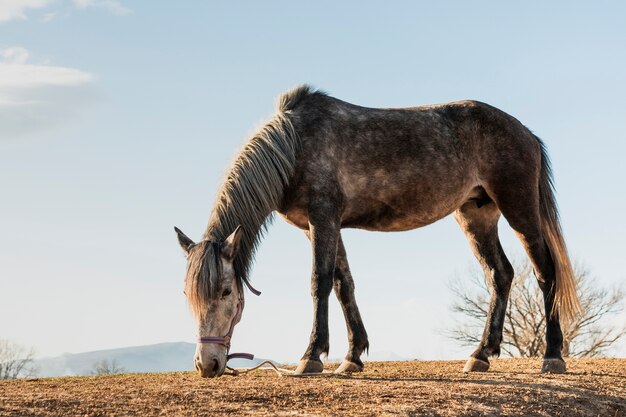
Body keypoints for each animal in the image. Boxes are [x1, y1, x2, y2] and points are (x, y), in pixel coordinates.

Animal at [173, 84, 576, 376]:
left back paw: (552, 357)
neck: (296, 145)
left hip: (519, 209)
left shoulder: (323, 219)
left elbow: (319, 282)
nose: (207, 365)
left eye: (227, 291)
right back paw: (481, 355)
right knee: (500, 274)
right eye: (188, 295)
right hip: (476, 216)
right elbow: (343, 285)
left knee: (544, 272)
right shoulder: (321, 227)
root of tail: (525, 132)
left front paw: (311, 356)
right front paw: (352, 357)